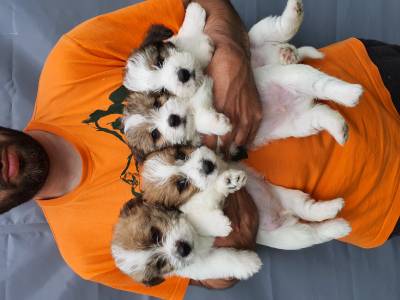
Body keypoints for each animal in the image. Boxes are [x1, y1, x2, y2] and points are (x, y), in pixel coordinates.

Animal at [111, 196, 262, 284]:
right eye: (160, 264)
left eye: (155, 234)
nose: (183, 249)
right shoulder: (196, 266)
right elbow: (222, 260)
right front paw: (249, 263)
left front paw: (218, 224)